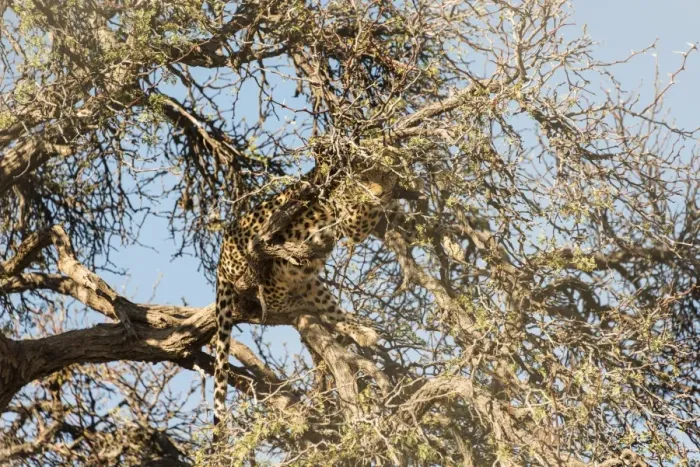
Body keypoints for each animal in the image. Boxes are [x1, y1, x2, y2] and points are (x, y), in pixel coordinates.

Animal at [212, 168, 396, 427]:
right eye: (366, 181)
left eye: (381, 177)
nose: (380, 190)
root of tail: (220, 261)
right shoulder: (351, 221)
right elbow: (370, 212)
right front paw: (394, 197)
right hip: (270, 269)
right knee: (271, 298)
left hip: (311, 281)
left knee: (332, 312)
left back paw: (361, 332)